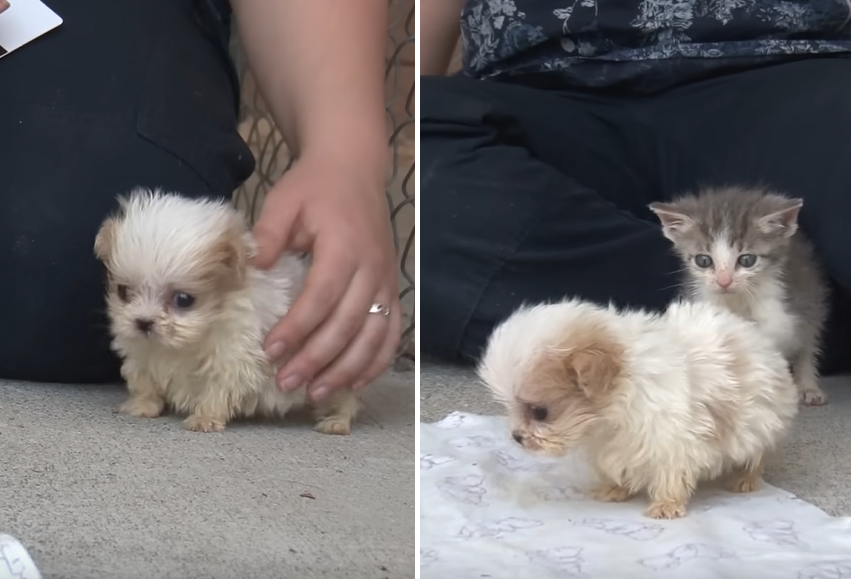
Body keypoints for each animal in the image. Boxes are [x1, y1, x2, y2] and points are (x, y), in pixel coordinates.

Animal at [93, 189, 360, 436]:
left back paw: (336, 422)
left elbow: (217, 390)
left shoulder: (233, 359)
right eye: (123, 291)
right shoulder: (142, 353)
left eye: (183, 299)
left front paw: (205, 418)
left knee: (343, 398)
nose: (143, 322)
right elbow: (144, 380)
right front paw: (142, 405)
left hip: (331, 371)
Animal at [480, 300, 800, 520]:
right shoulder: (613, 444)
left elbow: (670, 473)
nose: (517, 437)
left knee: (757, 453)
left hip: (759, 420)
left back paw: (746, 478)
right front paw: (615, 489)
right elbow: (617, 465)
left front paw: (666, 505)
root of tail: (757, 336)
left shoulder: (670, 438)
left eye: (539, 412)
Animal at [648, 187, 828, 408]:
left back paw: (808, 386)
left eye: (747, 260)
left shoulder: (782, 313)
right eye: (703, 261)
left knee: (808, 343)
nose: (723, 281)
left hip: (811, 296)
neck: (736, 301)